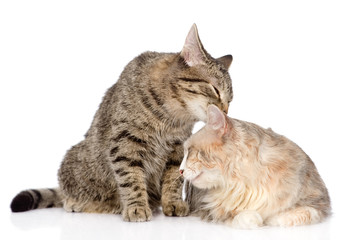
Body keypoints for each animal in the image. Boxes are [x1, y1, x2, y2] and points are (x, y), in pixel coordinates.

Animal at [10, 24, 234, 221]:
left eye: (230, 100)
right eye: (215, 90)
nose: (224, 112)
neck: (173, 117)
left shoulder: (177, 149)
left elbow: (174, 179)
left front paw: (172, 202)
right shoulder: (125, 143)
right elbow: (130, 178)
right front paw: (136, 206)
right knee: (71, 194)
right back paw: (85, 203)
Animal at [183, 105, 332, 229]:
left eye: (189, 151)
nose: (180, 171)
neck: (241, 183)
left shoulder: (319, 201)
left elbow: (303, 213)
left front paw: (273, 219)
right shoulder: (204, 209)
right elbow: (233, 216)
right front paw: (254, 219)